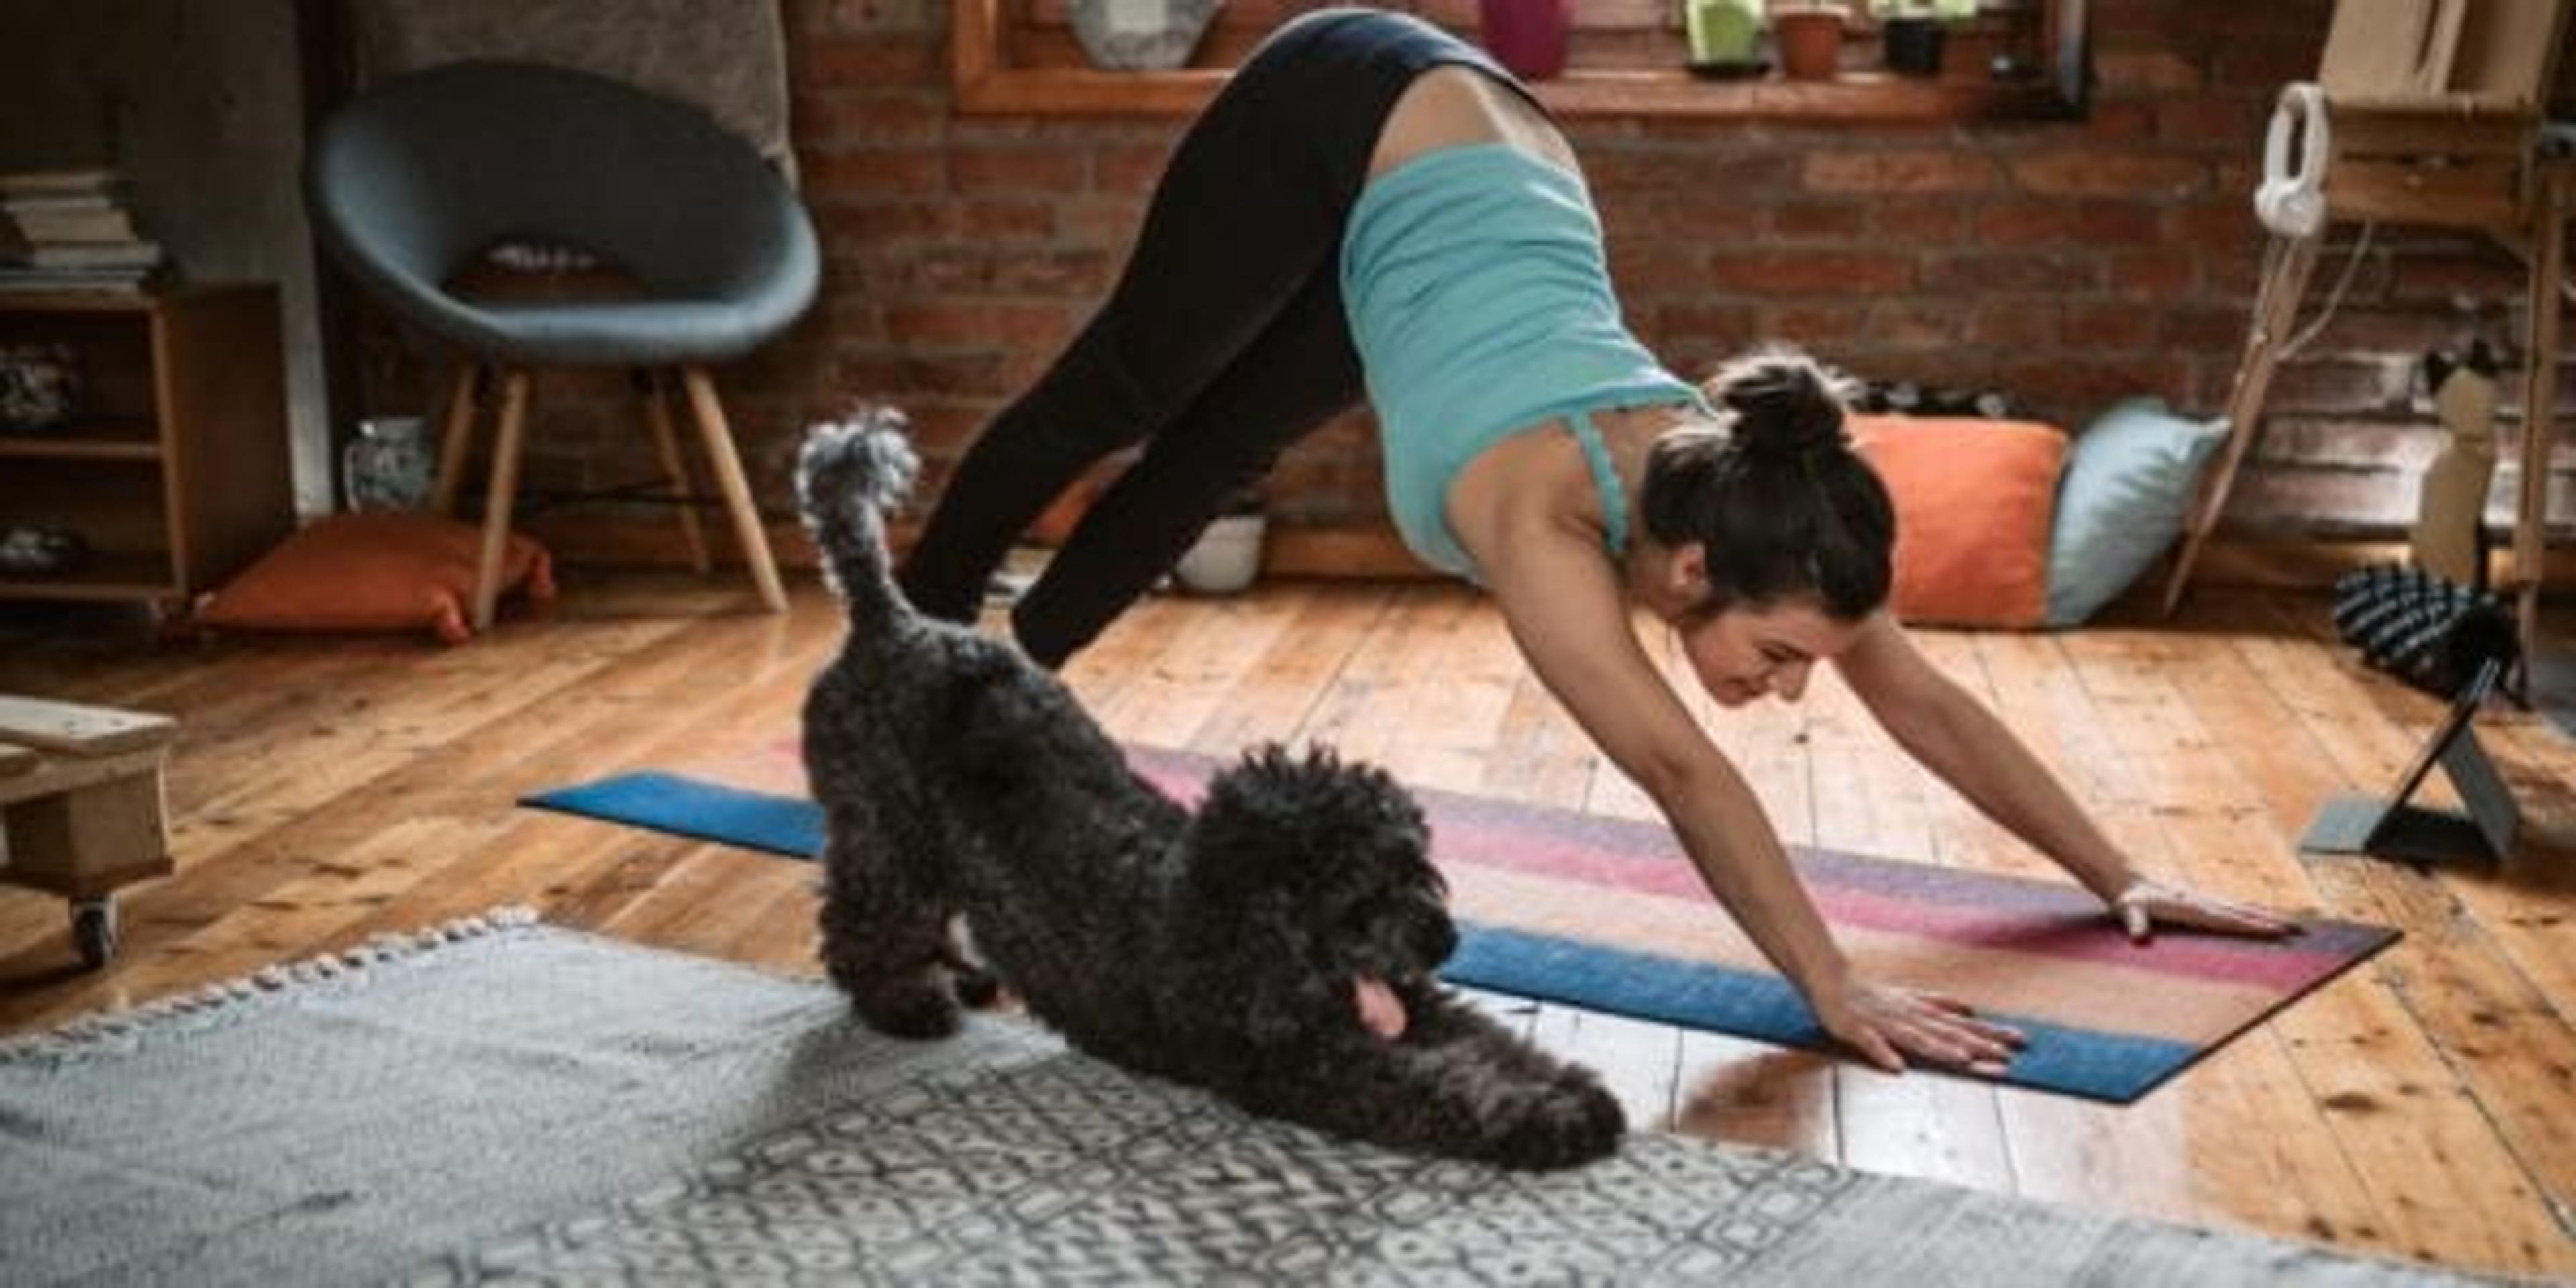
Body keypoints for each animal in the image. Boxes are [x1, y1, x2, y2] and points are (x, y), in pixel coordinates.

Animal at [793, 409, 1617, 1169]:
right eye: (1358, 892)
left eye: (1417, 868)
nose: (1445, 940)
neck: (1225, 919)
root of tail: (888, 620)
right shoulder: (1306, 1063)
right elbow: (1438, 1087)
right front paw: (1546, 1121)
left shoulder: (1409, 1000)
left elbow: (1491, 1040)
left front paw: (1572, 1088)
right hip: (882, 833)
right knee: (859, 926)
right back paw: (904, 1001)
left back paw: (963, 975)